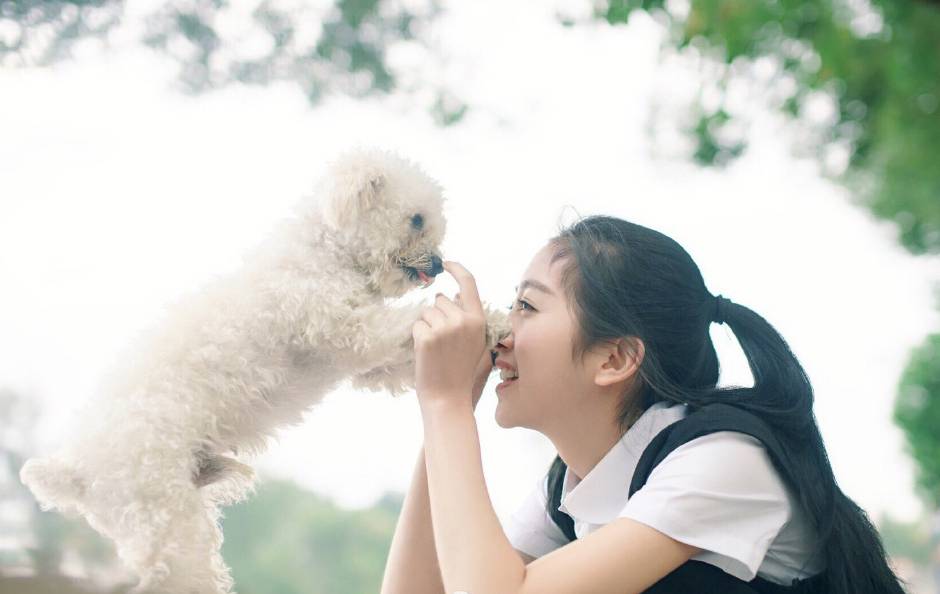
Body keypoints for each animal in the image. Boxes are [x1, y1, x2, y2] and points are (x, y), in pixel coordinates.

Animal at [18, 148, 510, 592]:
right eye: (416, 219)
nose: (439, 265)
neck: (325, 252)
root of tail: (77, 470)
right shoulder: (350, 329)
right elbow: (408, 320)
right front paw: (493, 322)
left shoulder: (361, 362)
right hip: (170, 522)